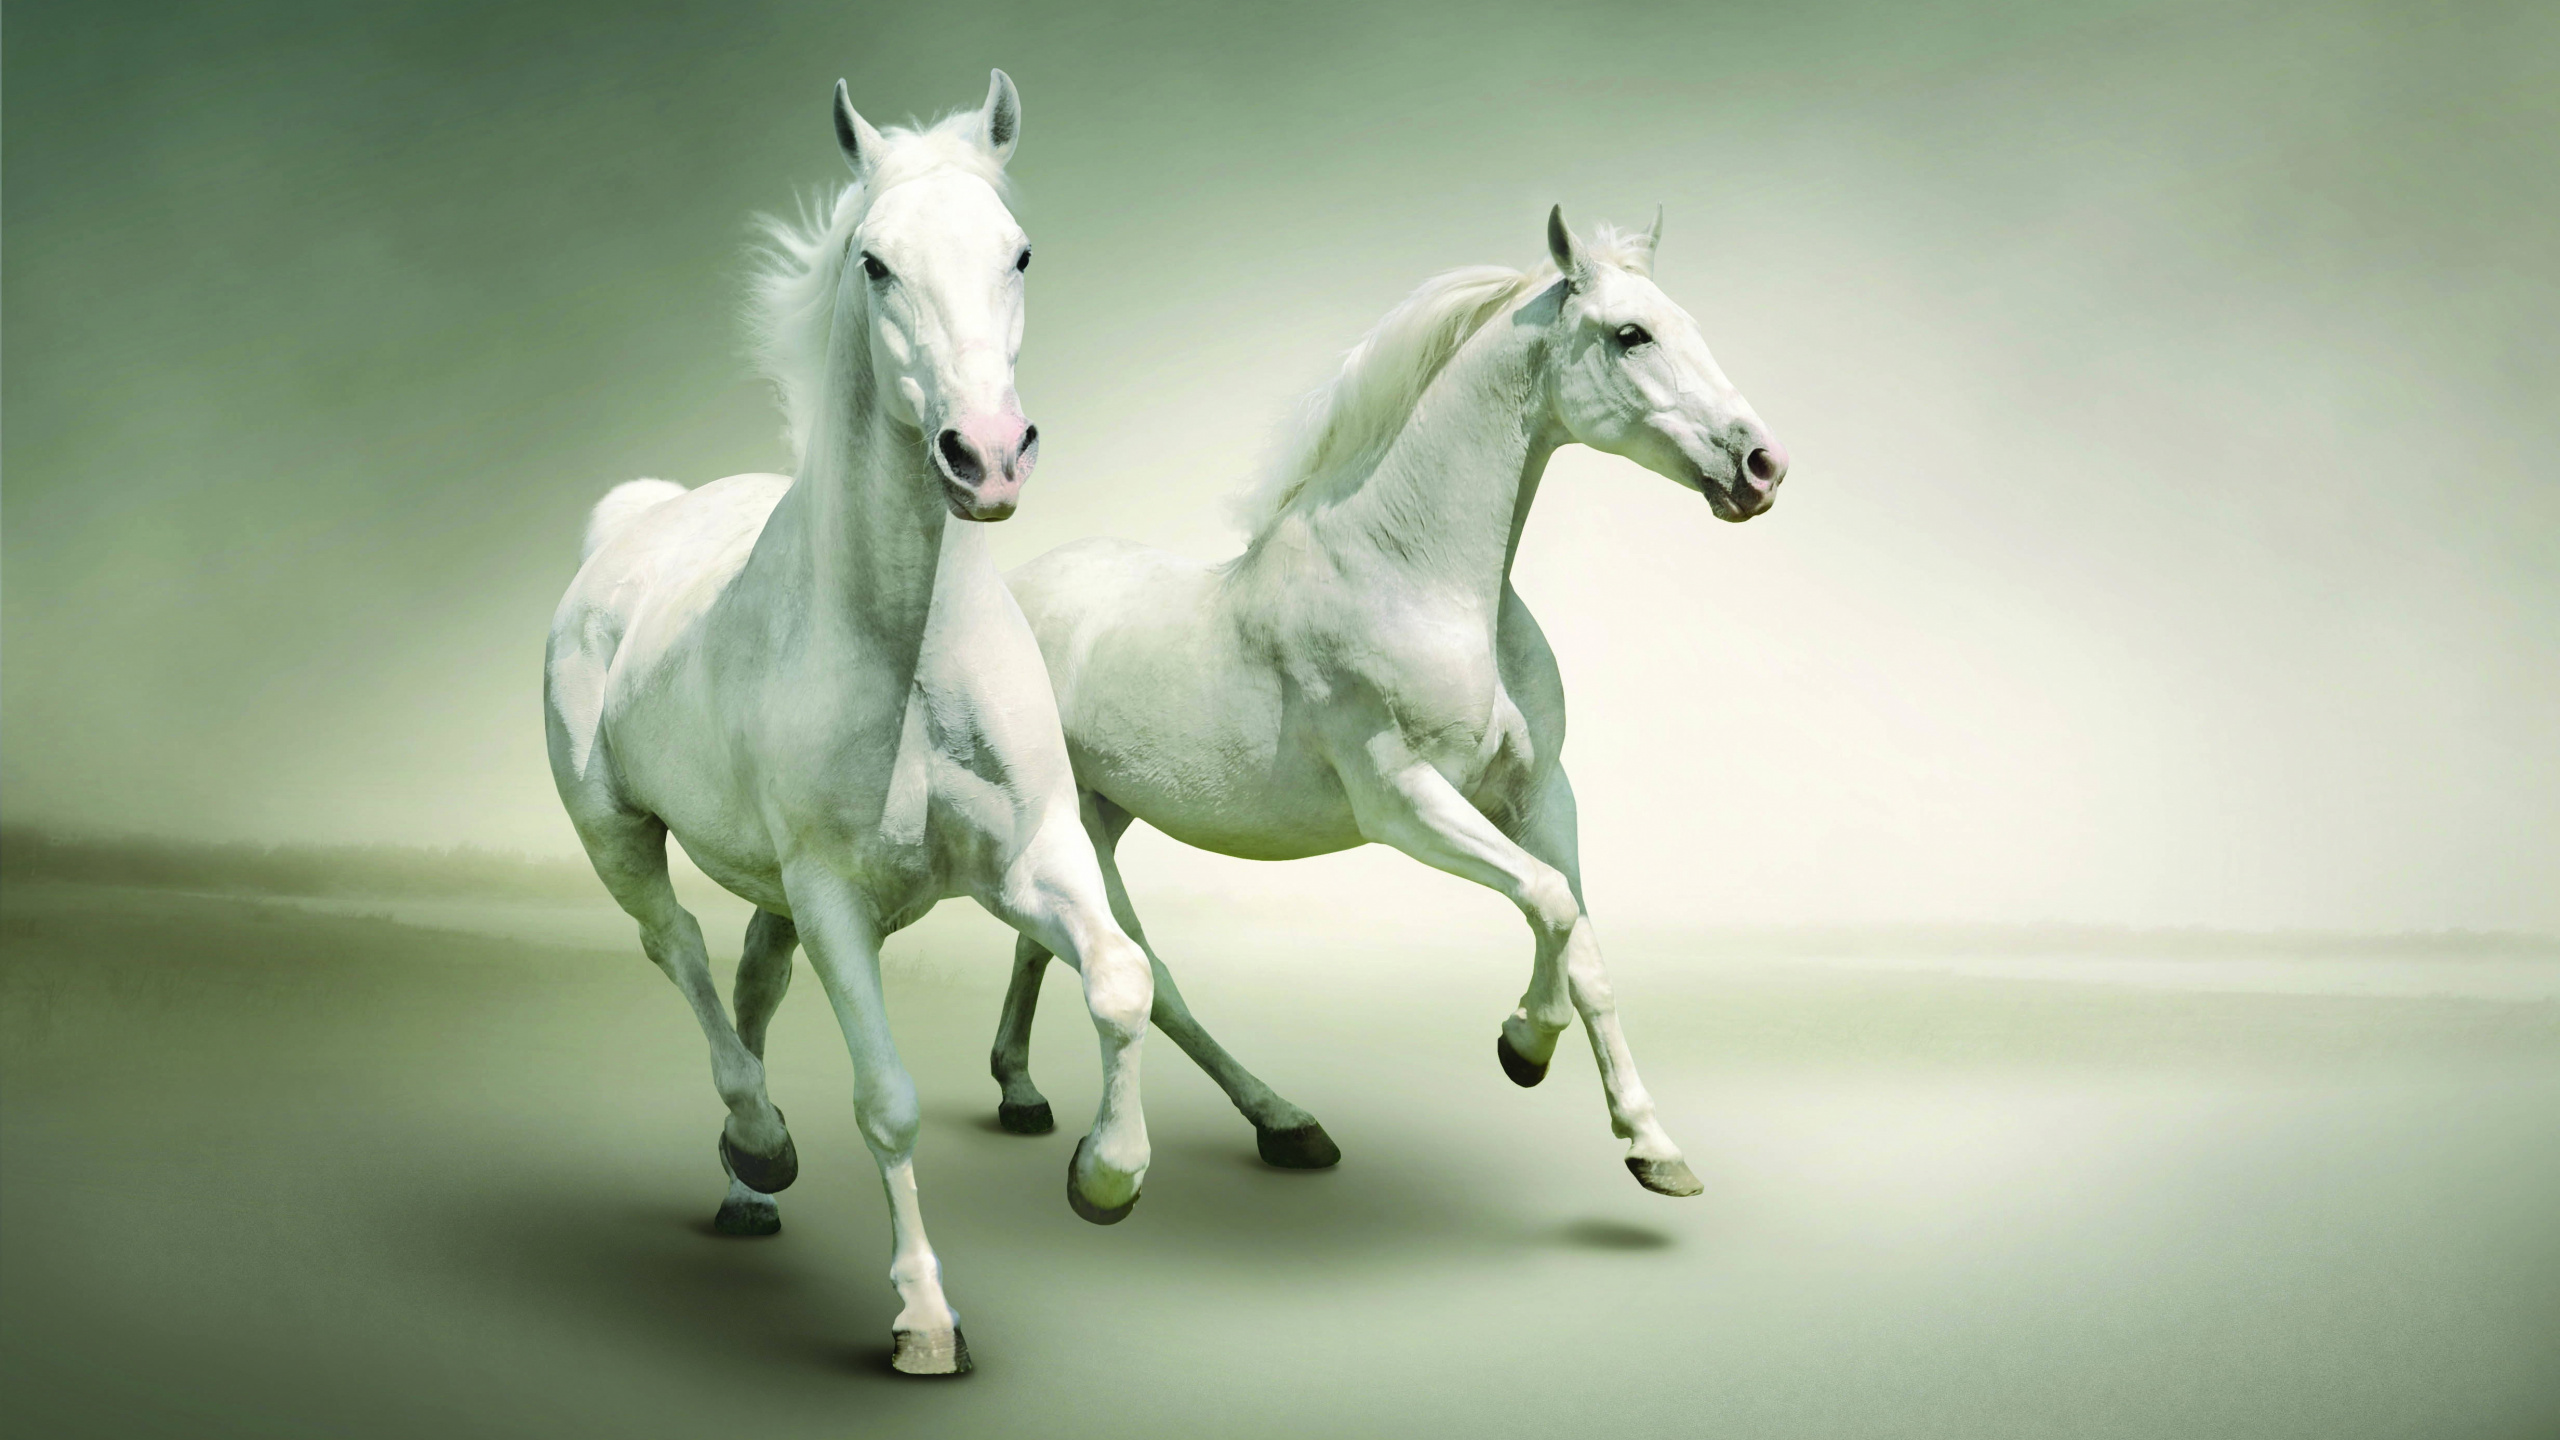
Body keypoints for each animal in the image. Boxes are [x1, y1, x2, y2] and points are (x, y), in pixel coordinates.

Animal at [544, 71, 1155, 1377]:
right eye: (875, 263)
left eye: (1018, 251)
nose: (987, 455)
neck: (908, 652)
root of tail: (634, 523)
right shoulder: (835, 899)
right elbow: (888, 1101)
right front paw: (924, 1321)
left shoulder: (1030, 858)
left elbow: (1122, 979)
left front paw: (1105, 1176)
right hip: (617, 835)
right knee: (677, 950)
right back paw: (759, 1143)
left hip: (769, 888)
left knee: (749, 978)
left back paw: (745, 1186)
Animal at [986, 207, 1787, 1198]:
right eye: (1631, 333)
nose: (1762, 465)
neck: (1418, 578)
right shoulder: (1404, 802)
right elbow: (1551, 904)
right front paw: (1523, 1045)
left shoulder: (1541, 796)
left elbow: (1586, 945)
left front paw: (1653, 1147)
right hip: (1081, 827)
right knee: (1145, 973)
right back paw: (1271, 1125)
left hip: (1101, 812)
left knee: (1045, 944)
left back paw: (1024, 1093)